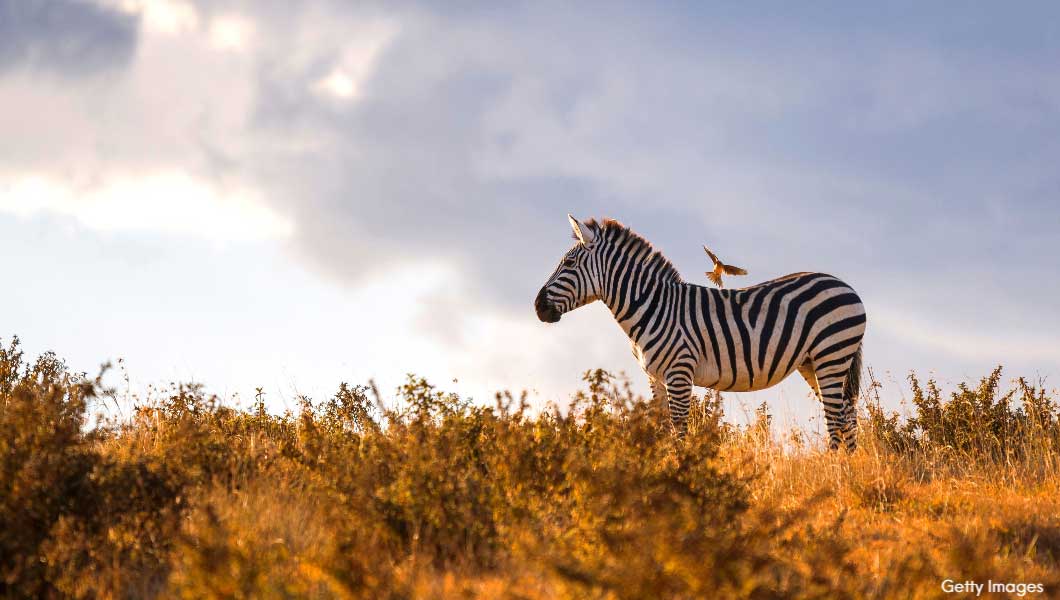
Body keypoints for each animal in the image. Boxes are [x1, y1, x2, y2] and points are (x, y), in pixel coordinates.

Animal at [534, 216, 864, 451]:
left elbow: (680, 429)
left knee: (836, 417)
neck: (653, 306)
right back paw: (849, 469)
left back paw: (834, 470)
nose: (538, 307)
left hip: (831, 354)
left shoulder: (680, 372)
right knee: (847, 415)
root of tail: (845, 285)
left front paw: (682, 473)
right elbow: (663, 426)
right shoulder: (655, 377)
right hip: (813, 362)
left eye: (569, 263)